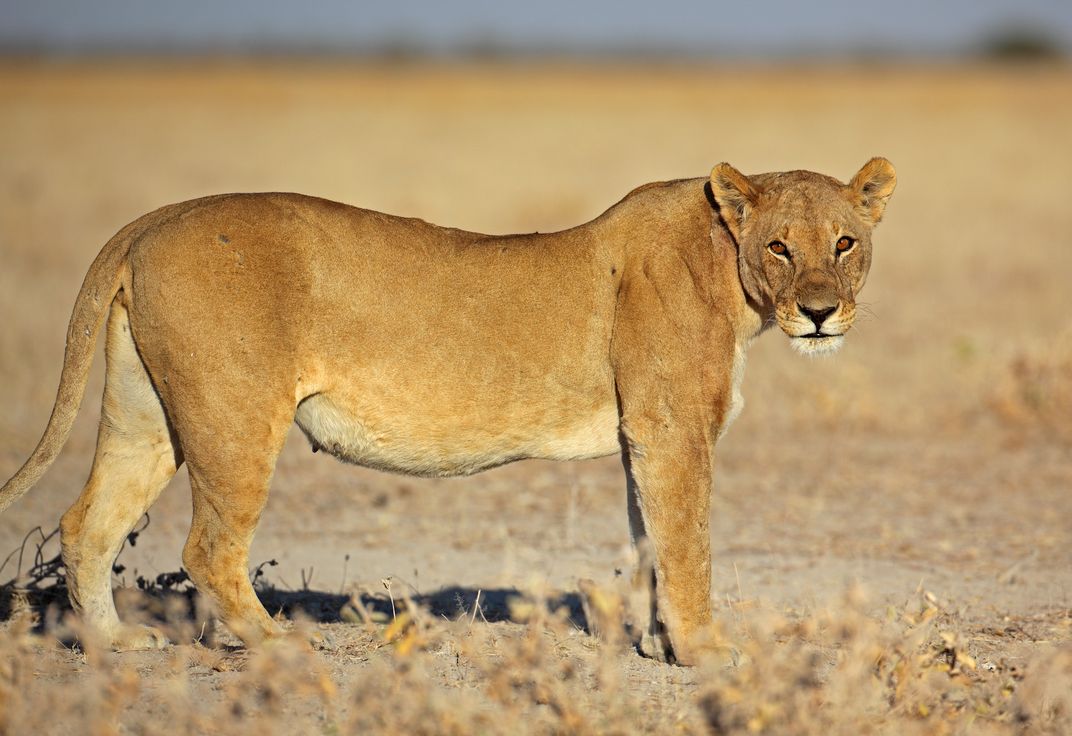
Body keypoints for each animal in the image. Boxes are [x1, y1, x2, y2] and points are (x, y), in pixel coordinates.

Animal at [0, 158, 895, 663]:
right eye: (781, 246)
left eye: (845, 243)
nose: (820, 312)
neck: (728, 269)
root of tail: (156, 218)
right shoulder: (675, 431)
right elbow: (690, 546)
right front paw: (708, 652)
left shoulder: (644, 435)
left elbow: (651, 542)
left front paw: (655, 645)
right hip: (234, 415)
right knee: (208, 547)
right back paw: (283, 646)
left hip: (146, 414)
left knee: (88, 523)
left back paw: (115, 643)